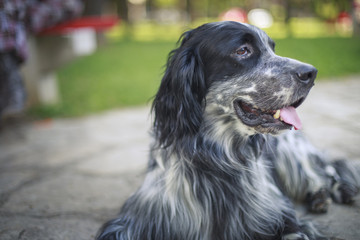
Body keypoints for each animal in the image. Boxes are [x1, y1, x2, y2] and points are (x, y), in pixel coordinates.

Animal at [96, 21, 360, 239]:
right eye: (242, 50)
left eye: (272, 48)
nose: (311, 73)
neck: (216, 155)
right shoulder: (135, 221)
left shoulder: (280, 218)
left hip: (291, 151)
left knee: (327, 171)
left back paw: (331, 194)